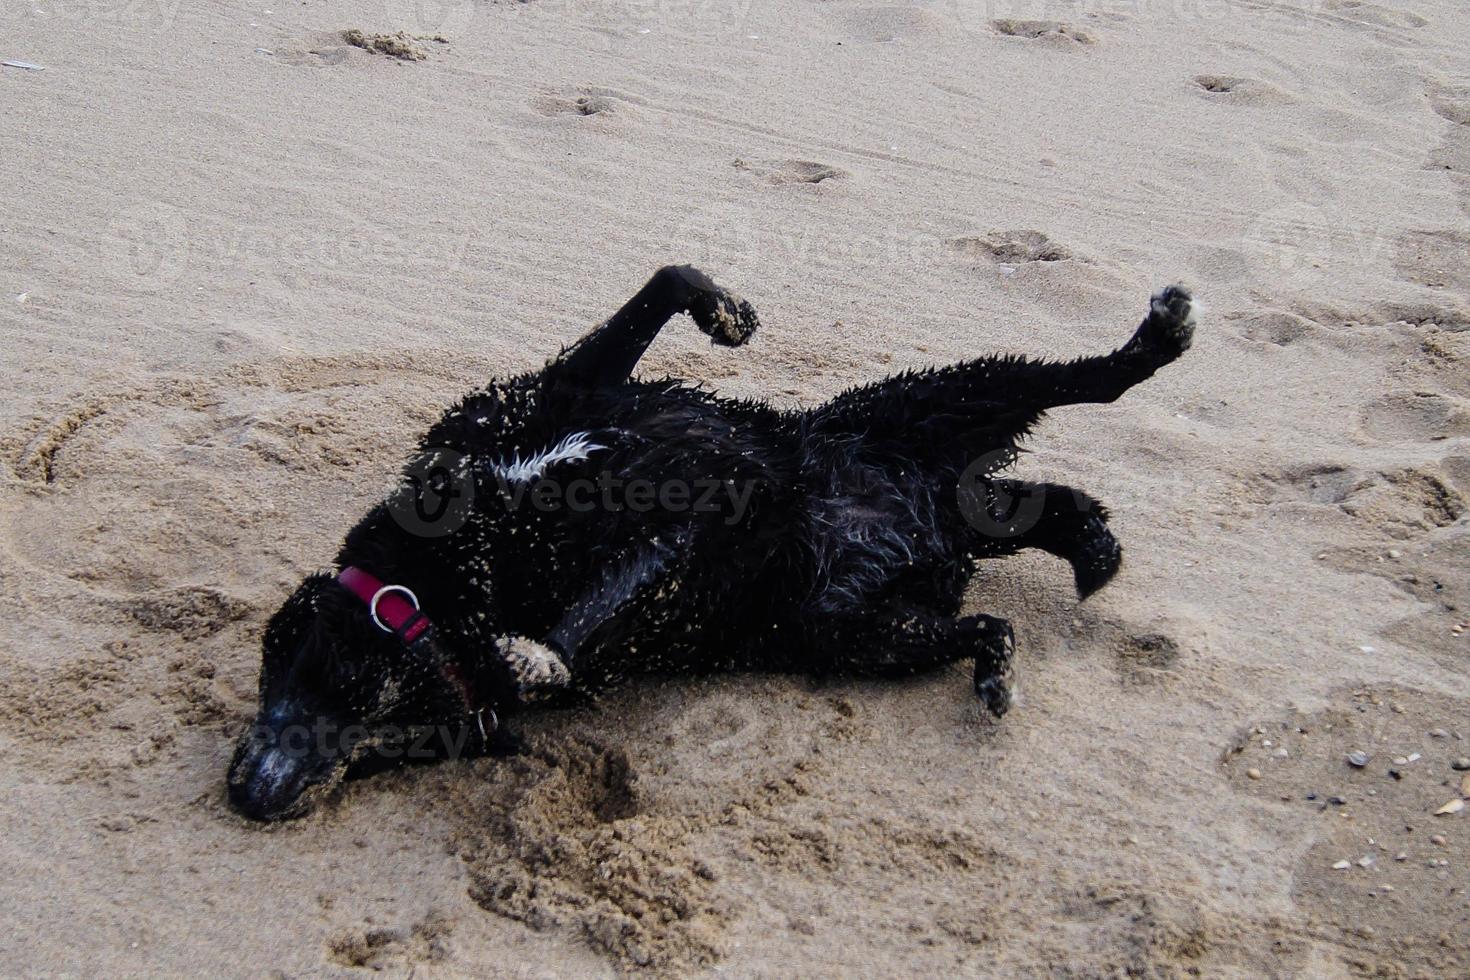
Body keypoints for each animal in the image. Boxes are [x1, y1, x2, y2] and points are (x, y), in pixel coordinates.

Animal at [226, 265, 1193, 822]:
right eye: (401, 749)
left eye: (281, 667)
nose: (244, 796)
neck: (446, 573)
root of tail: (936, 518)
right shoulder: (673, 549)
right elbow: (592, 617)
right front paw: (537, 659)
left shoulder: (574, 396)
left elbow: (664, 284)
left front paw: (724, 313)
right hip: (850, 626)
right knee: (995, 607)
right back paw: (1018, 635)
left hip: (931, 402)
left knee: (1093, 387)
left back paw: (1162, 333)